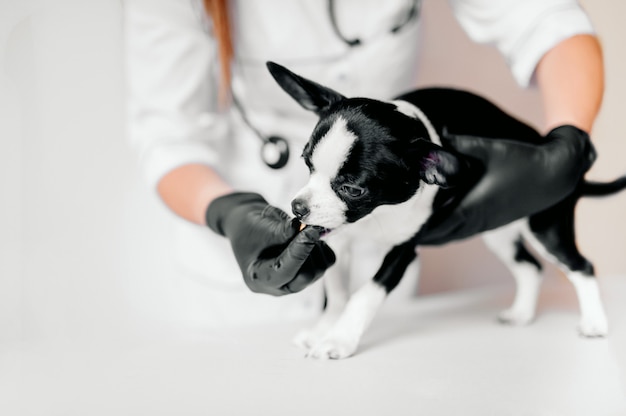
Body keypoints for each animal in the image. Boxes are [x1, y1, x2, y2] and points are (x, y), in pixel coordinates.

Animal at [264, 60, 624, 360]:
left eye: (353, 189)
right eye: (307, 165)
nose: (298, 207)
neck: (379, 214)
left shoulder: (402, 251)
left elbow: (364, 294)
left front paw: (340, 340)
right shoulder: (339, 238)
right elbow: (338, 292)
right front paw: (325, 330)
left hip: (546, 227)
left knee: (581, 266)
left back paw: (594, 323)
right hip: (499, 229)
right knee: (530, 267)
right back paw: (521, 313)